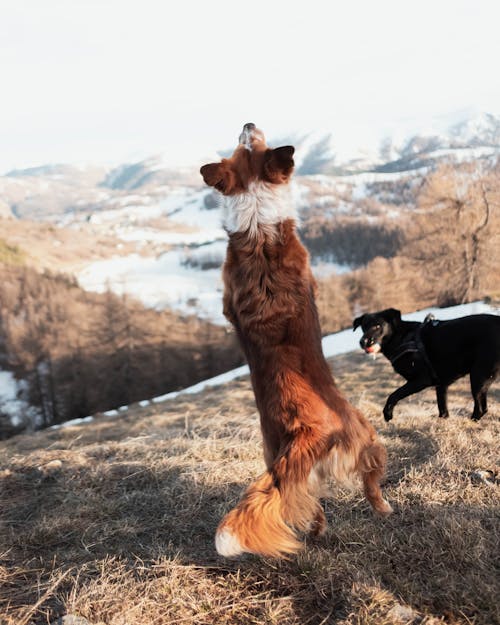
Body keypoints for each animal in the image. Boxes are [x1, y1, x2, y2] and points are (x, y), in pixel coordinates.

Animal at [199, 123, 390, 556]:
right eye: (248, 141)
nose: (248, 123)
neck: (256, 226)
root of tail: (305, 431)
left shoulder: (227, 298)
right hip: (367, 437)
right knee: (371, 479)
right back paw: (384, 508)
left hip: (288, 471)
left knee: (298, 504)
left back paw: (316, 531)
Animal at [352, 308, 500, 422]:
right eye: (363, 327)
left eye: (378, 326)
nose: (363, 342)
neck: (402, 338)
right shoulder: (441, 385)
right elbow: (442, 408)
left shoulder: (421, 380)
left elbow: (394, 395)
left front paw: (387, 414)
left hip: (478, 375)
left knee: (481, 408)